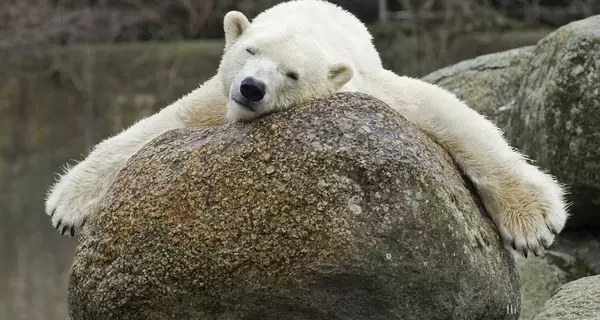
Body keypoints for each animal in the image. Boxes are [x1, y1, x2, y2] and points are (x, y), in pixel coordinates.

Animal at [44, 0, 564, 256]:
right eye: (250, 51)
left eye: (291, 74)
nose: (252, 88)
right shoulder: (218, 91)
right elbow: (160, 124)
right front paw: (67, 204)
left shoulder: (365, 85)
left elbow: (447, 112)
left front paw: (535, 222)